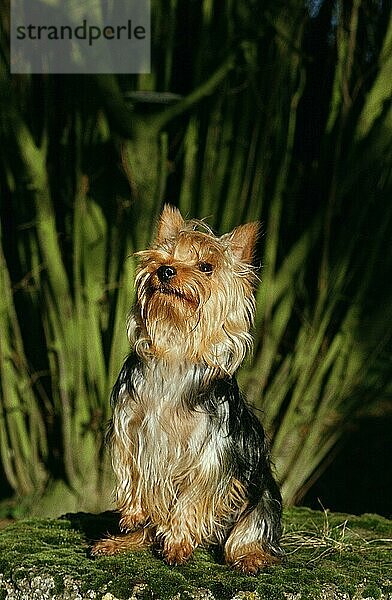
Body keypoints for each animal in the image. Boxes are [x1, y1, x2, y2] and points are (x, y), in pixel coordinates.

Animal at [92, 207, 282, 576]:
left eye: (206, 267)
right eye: (163, 257)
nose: (165, 270)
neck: (174, 347)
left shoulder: (211, 452)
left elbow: (193, 498)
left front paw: (178, 545)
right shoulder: (131, 428)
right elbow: (134, 474)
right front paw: (133, 515)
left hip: (261, 496)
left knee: (250, 530)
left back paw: (249, 556)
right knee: (151, 527)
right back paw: (124, 541)